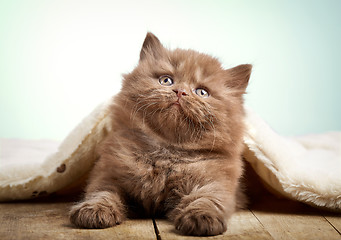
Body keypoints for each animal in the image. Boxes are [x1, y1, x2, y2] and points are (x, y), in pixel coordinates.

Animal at [69, 32, 251, 236]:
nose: (181, 92)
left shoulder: (217, 181)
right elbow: (102, 192)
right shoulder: (109, 173)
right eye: (166, 80)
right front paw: (93, 211)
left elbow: (207, 199)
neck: (166, 151)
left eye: (202, 92)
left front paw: (201, 218)